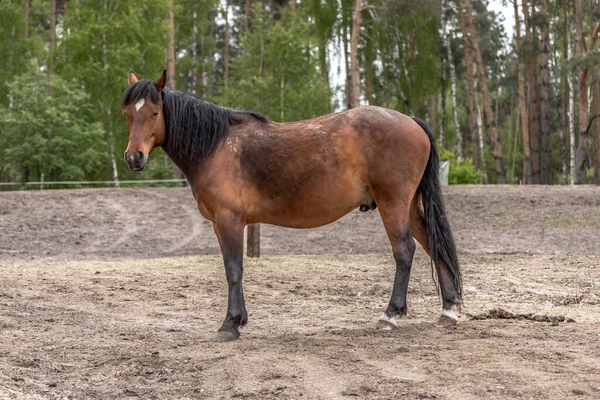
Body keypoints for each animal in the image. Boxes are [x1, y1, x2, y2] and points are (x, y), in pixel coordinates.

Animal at [120, 70, 460, 342]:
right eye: (127, 114)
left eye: (154, 113)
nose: (134, 157)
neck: (217, 146)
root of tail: (410, 121)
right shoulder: (221, 223)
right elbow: (234, 269)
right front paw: (240, 320)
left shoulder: (229, 220)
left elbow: (233, 269)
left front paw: (230, 324)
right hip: (410, 206)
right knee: (434, 245)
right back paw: (448, 310)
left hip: (393, 203)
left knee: (404, 250)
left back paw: (390, 315)